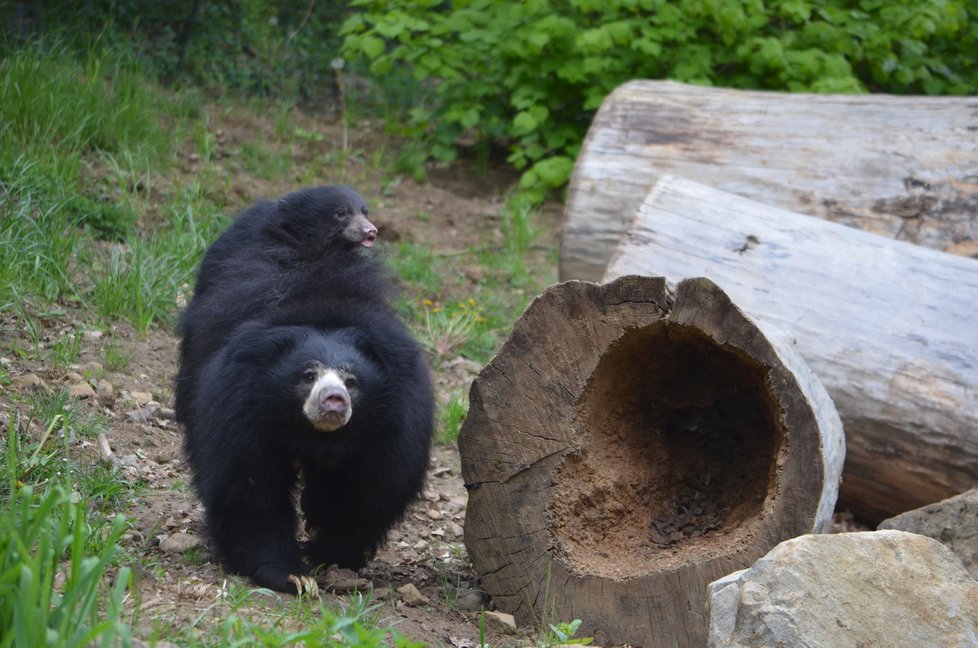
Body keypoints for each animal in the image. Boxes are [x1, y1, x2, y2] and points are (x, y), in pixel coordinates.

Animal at [174, 185, 430, 596]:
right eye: (307, 375)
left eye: (352, 381)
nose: (333, 401)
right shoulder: (240, 407)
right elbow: (249, 487)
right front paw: (291, 574)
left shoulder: (394, 424)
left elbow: (370, 489)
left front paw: (331, 557)